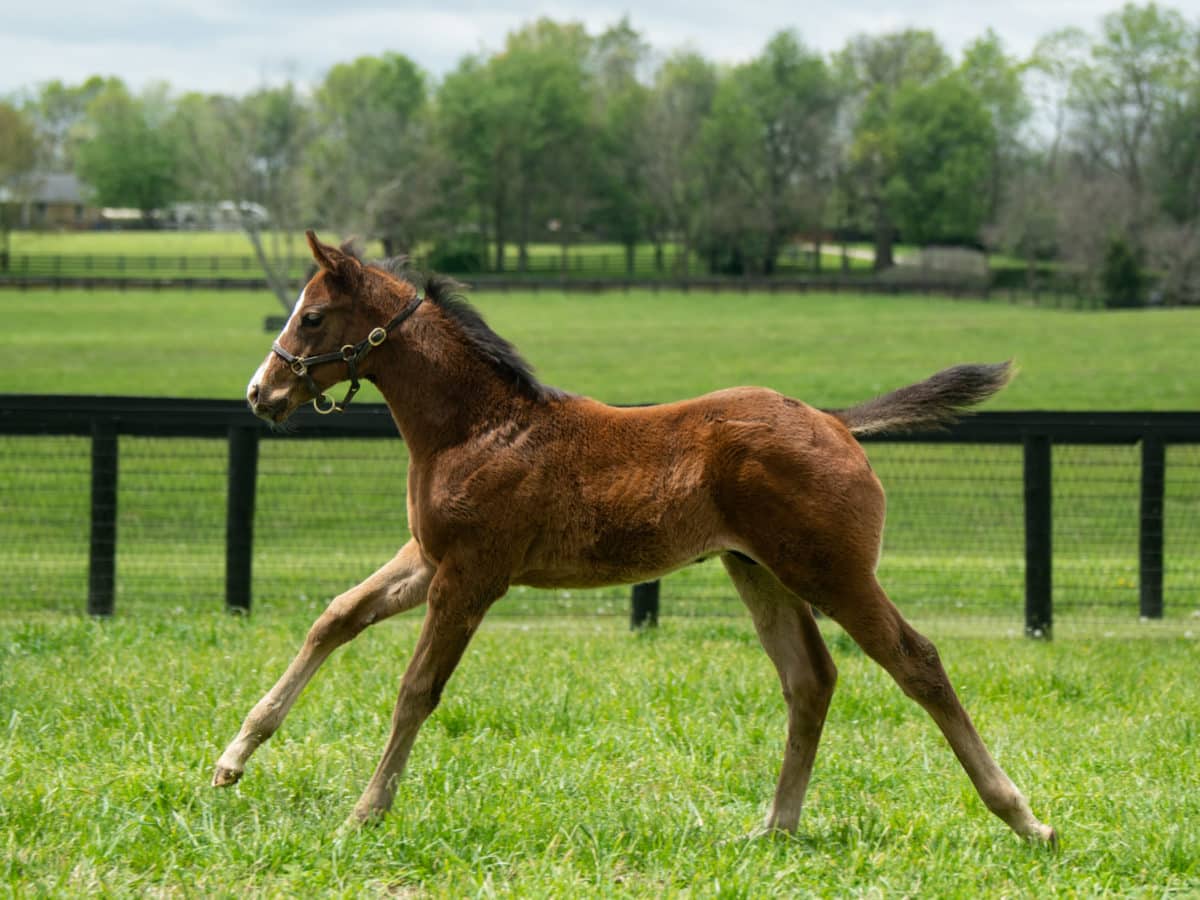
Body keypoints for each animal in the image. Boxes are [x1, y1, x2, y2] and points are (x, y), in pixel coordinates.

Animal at [213, 230, 1051, 844]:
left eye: (311, 317)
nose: (261, 393)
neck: (476, 427)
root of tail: (836, 422)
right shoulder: (428, 559)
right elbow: (336, 617)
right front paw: (232, 758)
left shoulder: (471, 576)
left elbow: (417, 688)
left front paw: (365, 812)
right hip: (759, 571)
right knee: (810, 679)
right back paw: (775, 827)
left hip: (834, 573)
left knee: (918, 661)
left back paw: (1023, 818)